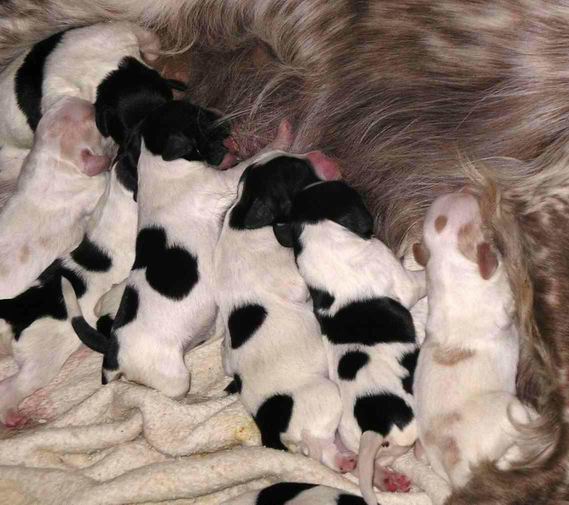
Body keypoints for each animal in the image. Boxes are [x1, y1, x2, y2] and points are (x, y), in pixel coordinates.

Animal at [282, 180, 422, 500]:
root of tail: (374, 423)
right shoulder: (403, 280)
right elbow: (421, 279)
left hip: (357, 439)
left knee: (365, 465)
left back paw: (386, 480)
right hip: (409, 429)